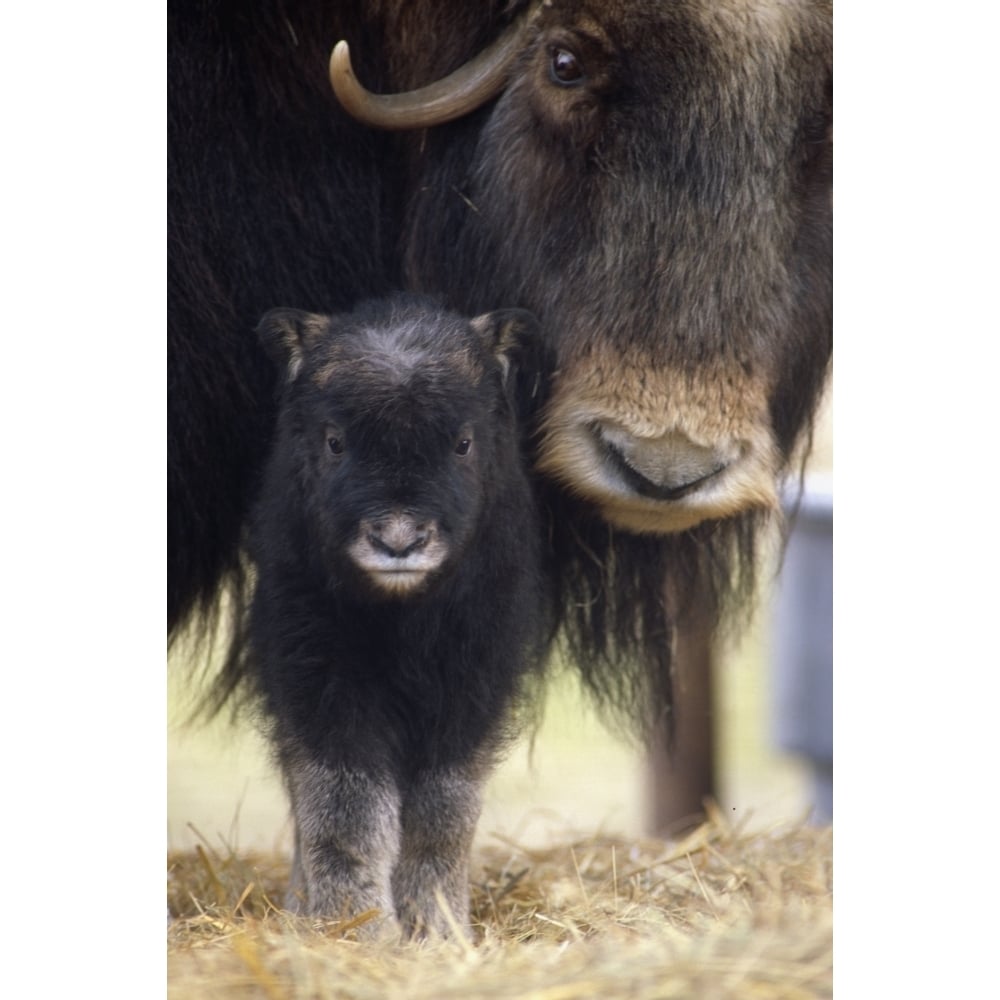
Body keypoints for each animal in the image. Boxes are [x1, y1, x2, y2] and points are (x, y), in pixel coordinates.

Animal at [238, 290, 552, 936]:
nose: (399, 541)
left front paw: (437, 929)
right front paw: (356, 928)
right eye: (336, 441)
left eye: (462, 442)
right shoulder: (319, 676)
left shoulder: (471, 685)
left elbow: (443, 811)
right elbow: (345, 808)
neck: (402, 612)